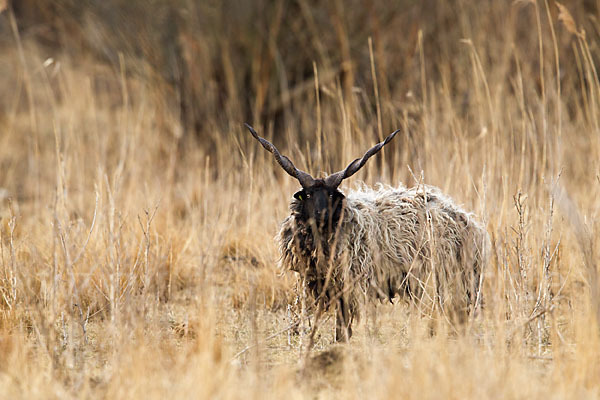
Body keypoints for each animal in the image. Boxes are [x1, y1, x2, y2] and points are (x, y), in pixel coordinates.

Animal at [246, 122, 490, 340]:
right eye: (307, 195)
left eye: (332, 194)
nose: (321, 215)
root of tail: (468, 220)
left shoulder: (350, 286)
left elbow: (342, 327)